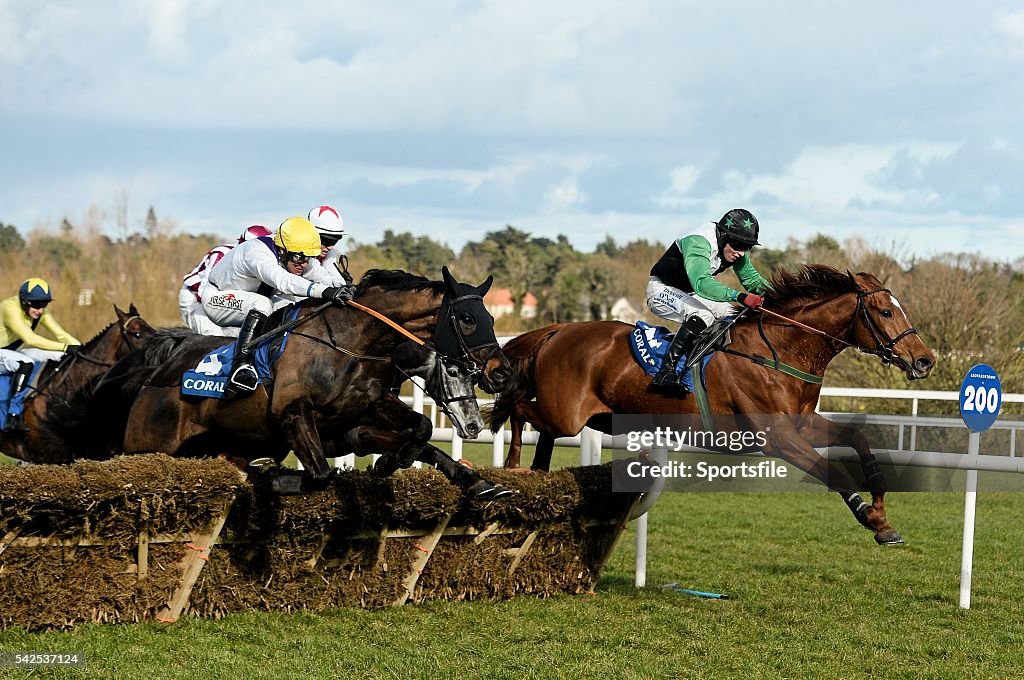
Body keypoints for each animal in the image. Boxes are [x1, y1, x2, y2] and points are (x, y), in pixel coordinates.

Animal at [487, 262, 937, 544]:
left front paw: (882, 512)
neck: (779, 349)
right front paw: (869, 515)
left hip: (588, 418)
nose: (924, 360)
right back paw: (512, 465)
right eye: (885, 312)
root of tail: (557, 330)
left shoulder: (802, 424)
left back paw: (536, 471)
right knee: (518, 408)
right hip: (566, 414)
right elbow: (831, 471)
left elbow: (858, 438)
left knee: (538, 428)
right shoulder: (776, 437)